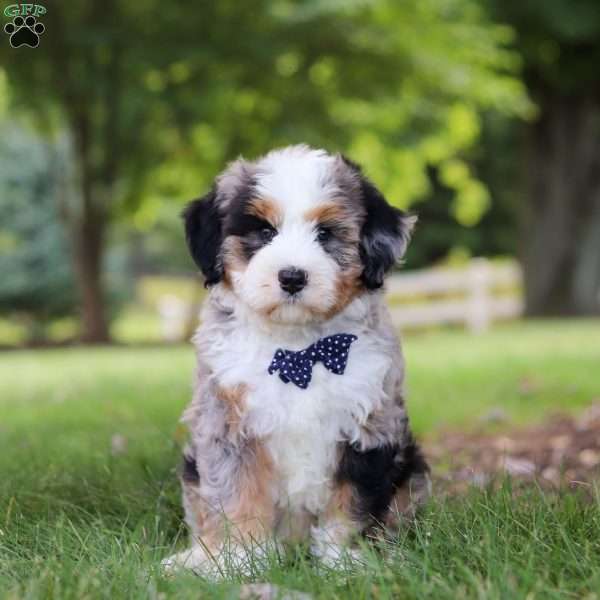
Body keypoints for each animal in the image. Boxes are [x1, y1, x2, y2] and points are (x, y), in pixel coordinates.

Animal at [162, 145, 428, 576]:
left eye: (325, 234)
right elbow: (237, 495)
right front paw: (241, 560)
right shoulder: (229, 426)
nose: (292, 276)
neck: (299, 350)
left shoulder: (370, 426)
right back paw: (193, 559)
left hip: (412, 466)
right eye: (265, 233)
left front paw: (345, 561)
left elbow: (353, 501)